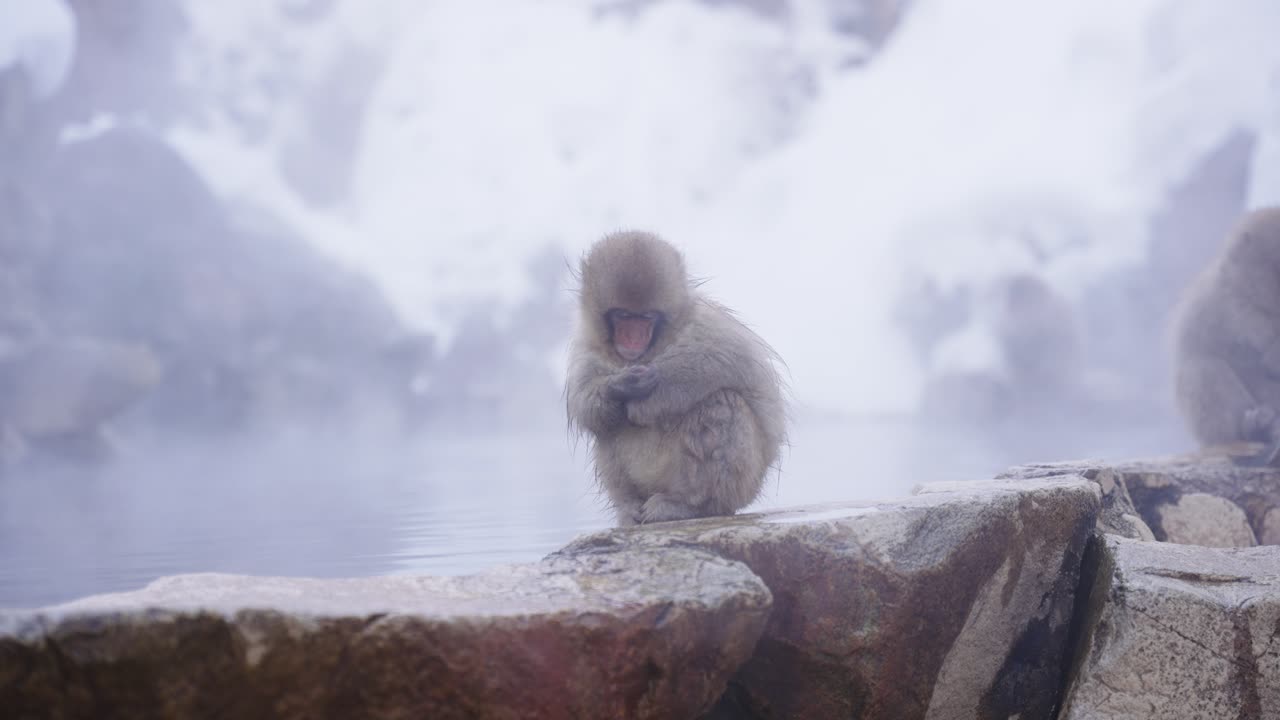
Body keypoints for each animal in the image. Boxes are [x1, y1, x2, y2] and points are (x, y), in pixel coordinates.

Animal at [565, 231, 787, 526]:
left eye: (646, 317)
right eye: (623, 316)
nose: (633, 339)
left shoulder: (705, 322)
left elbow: (729, 360)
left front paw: (649, 394)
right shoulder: (585, 346)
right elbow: (585, 404)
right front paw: (620, 387)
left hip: (741, 485)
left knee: (721, 401)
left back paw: (688, 505)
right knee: (606, 426)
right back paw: (630, 506)